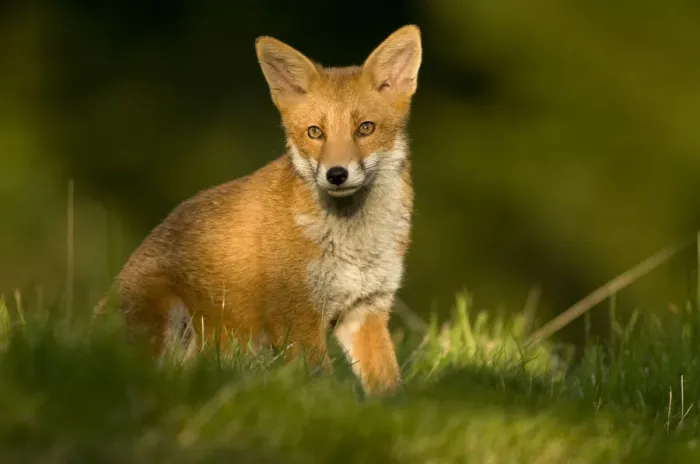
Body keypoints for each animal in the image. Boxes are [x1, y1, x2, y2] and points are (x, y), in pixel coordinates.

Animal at [95, 25, 422, 396]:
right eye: (315, 132)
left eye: (365, 128)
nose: (336, 174)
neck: (353, 244)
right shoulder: (297, 316)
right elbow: (324, 387)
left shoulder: (365, 308)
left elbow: (390, 387)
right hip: (169, 315)